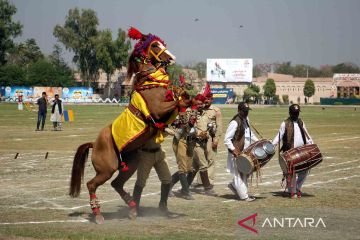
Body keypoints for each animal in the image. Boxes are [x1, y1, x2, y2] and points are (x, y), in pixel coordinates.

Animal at [68, 27, 195, 223]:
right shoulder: (158, 110)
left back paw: (133, 208)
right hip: (106, 169)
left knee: (116, 184)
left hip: (130, 164)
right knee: (91, 184)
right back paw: (98, 214)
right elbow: (179, 102)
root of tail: (95, 144)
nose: (172, 57)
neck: (151, 84)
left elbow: (181, 100)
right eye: (155, 45)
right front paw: (195, 101)